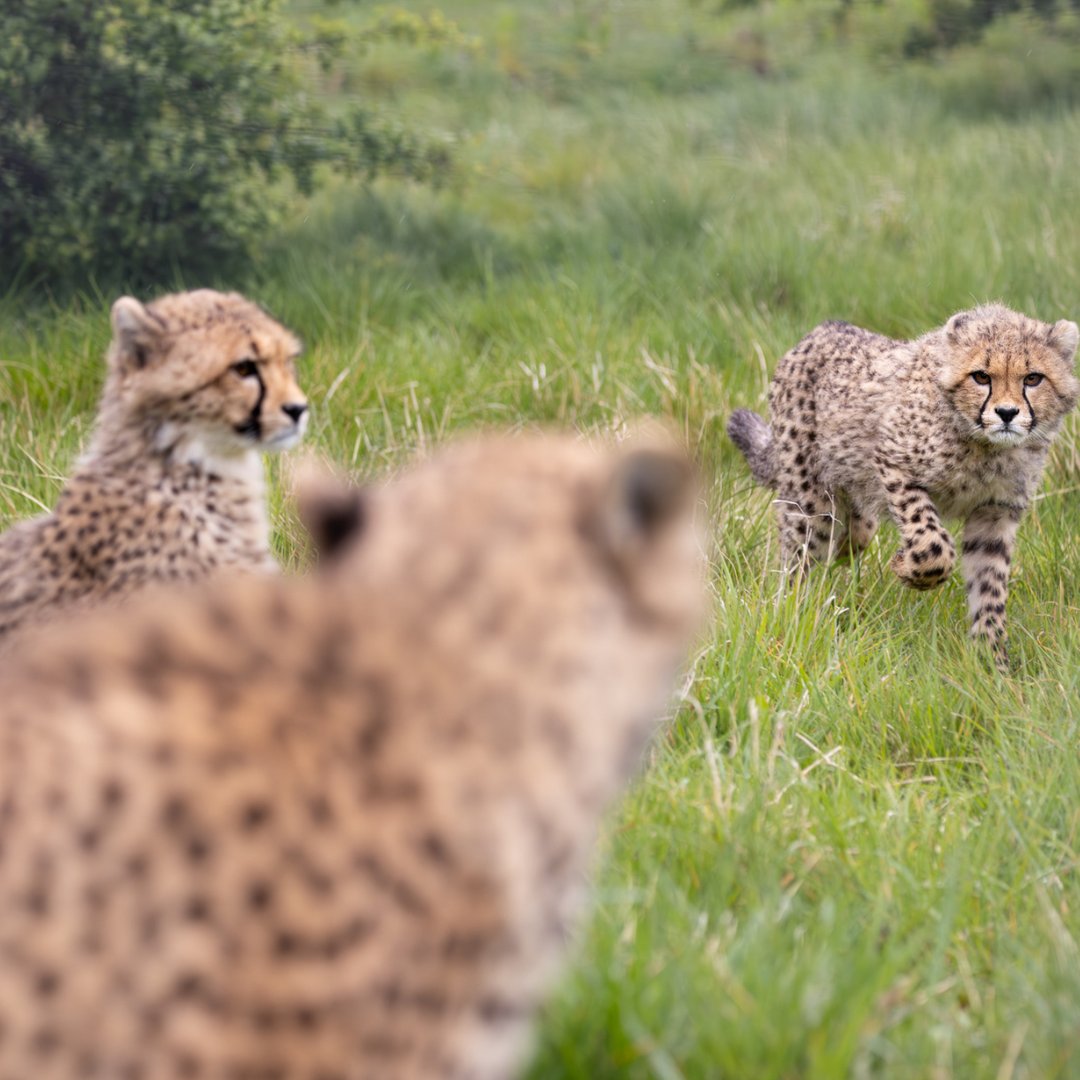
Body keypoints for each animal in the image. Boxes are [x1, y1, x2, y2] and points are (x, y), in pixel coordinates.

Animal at [728, 304, 1079, 667]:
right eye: (981, 377)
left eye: (1033, 378)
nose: (1007, 413)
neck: (985, 446)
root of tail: (820, 331)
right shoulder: (894, 465)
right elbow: (934, 544)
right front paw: (905, 566)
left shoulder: (995, 511)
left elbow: (990, 586)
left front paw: (991, 660)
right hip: (810, 501)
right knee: (799, 559)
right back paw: (792, 616)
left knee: (851, 538)